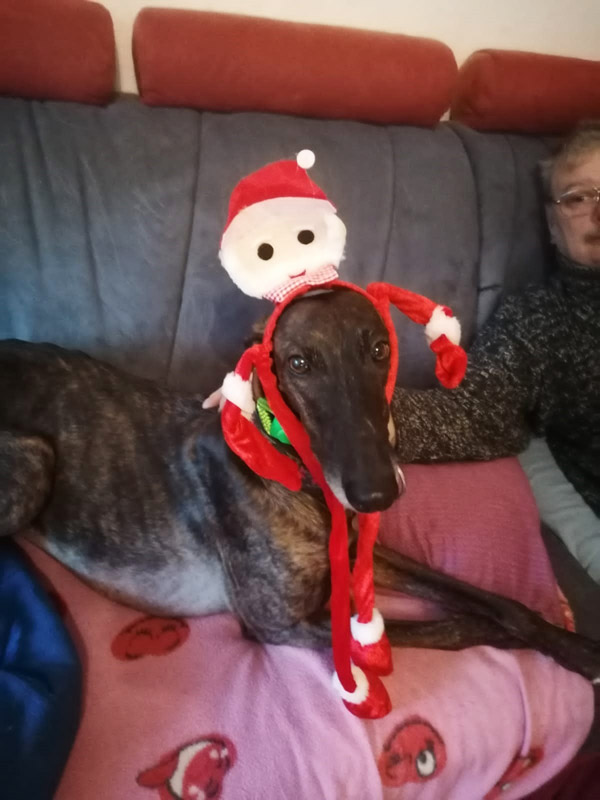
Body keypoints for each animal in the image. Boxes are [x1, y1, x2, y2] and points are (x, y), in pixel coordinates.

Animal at [1, 287, 599, 679]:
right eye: (299, 363)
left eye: (379, 350)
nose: (378, 492)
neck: (303, 484)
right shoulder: (280, 623)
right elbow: (450, 627)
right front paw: (499, 638)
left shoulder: (360, 551)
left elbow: (496, 602)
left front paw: (571, 646)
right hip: (35, 457)